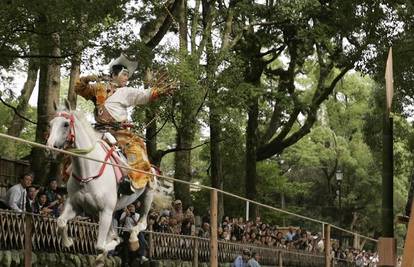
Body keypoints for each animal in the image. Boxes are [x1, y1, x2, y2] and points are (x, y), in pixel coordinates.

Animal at [46, 103, 161, 260]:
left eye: (65, 124)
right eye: (50, 124)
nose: (50, 147)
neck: (88, 171)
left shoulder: (105, 210)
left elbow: (100, 247)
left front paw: (108, 248)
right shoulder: (76, 205)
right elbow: (61, 222)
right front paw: (68, 242)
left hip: (147, 192)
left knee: (142, 223)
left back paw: (132, 240)